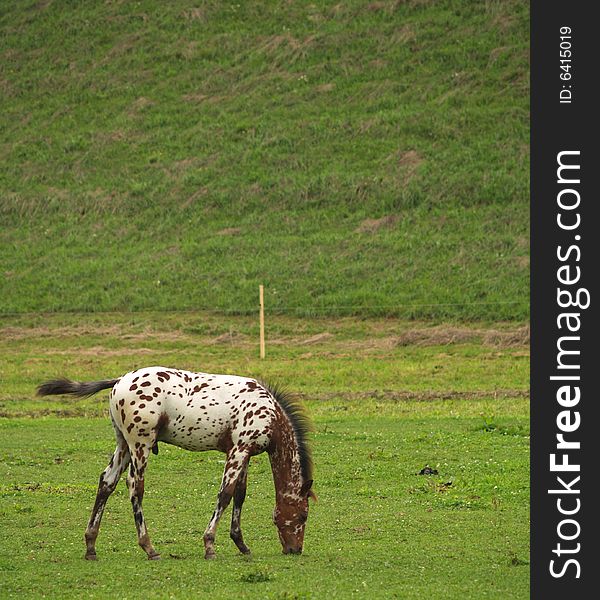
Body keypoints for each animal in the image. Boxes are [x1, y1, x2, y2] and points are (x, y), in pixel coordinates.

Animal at [35, 368, 316, 560]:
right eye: (303, 514)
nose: (295, 549)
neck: (269, 413)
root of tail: (119, 380)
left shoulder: (242, 453)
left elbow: (239, 495)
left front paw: (241, 544)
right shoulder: (239, 451)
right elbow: (225, 495)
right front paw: (209, 545)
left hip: (123, 445)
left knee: (107, 482)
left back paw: (91, 546)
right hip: (140, 445)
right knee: (135, 486)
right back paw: (149, 547)